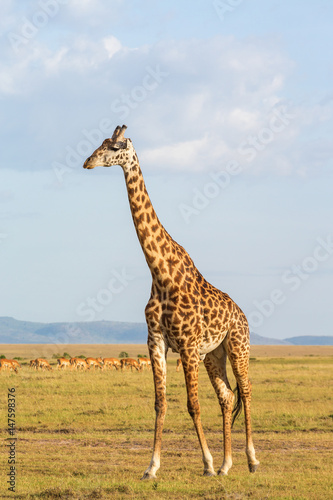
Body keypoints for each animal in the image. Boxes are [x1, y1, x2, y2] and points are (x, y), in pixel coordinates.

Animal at [83, 125, 260, 480]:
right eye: (101, 143)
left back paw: (250, 460)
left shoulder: (188, 345)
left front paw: (205, 464)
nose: (88, 162)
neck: (160, 272)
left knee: (245, 391)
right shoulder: (157, 341)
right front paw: (151, 467)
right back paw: (227, 464)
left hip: (237, 345)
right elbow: (160, 403)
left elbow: (193, 404)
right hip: (213, 354)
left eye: (115, 146)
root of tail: (242, 314)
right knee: (227, 396)